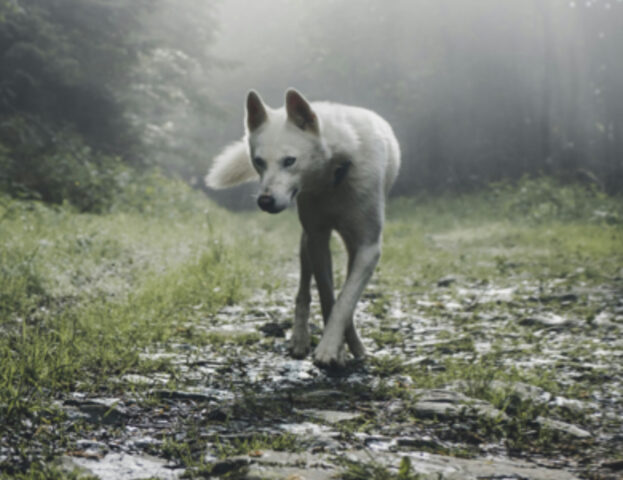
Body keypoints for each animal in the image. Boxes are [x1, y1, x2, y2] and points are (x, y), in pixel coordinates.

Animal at [205, 89, 400, 368]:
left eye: (290, 161)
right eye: (259, 162)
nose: (265, 201)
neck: (334, 175)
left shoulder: (369, 248)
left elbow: (345, 300)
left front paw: (334, 347)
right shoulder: (317, 239)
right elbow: (328, 297)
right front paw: (337, 348)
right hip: (306, 242)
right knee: (303, 291)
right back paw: (300, 338)